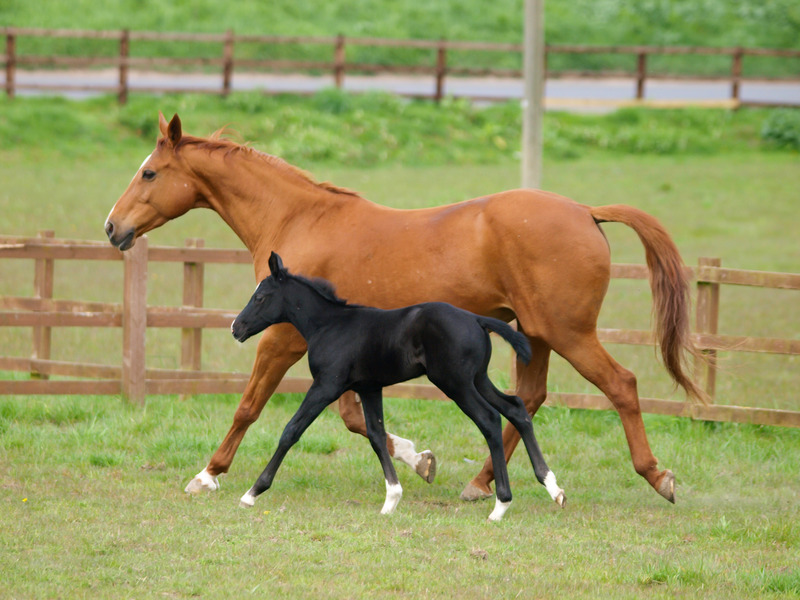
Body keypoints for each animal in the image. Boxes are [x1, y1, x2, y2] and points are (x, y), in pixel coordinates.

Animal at [231, 253, 564, 520]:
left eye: (261, 297)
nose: (236, 327)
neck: (329, 326)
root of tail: (477, 319)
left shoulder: (326, 385)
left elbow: (291, 430)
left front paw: (252, 493)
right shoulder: (369, 388)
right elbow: (377, 436)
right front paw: (391, 500)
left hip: (455, 383)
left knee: (490, 420)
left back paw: (501, 506)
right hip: (477, 379)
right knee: (516, 409)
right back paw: (553, 487)